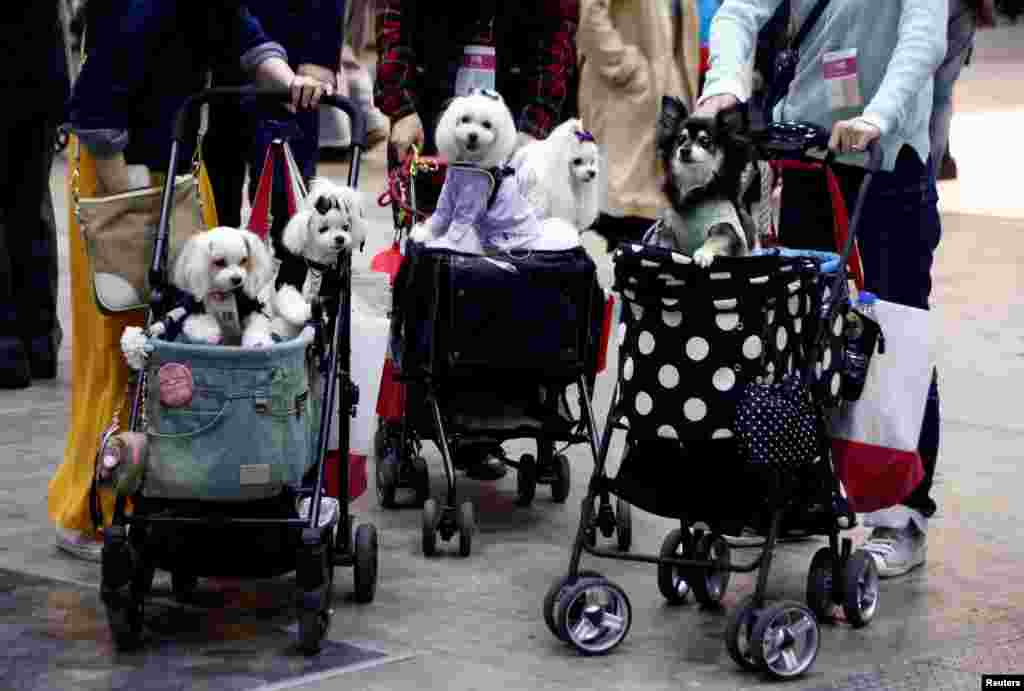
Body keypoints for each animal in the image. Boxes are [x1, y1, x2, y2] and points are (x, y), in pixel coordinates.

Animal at [272, 178, 368, 339]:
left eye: (345, 227)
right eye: (323, 229)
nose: (340, 239)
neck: (318, 262)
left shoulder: (333, 284)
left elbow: (329, 305)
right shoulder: (290, 276)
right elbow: (289, 296)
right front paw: (306, 312)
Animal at [409, 89, 585, 255]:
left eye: (487, 125)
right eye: (465, 119)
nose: (472, 135)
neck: (469, 164)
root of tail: (538, 238)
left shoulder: (470, 203)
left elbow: (458, 228)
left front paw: (446, 244)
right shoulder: (448, 196)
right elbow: (439, 218)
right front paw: (424, 234)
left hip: (505, 238)